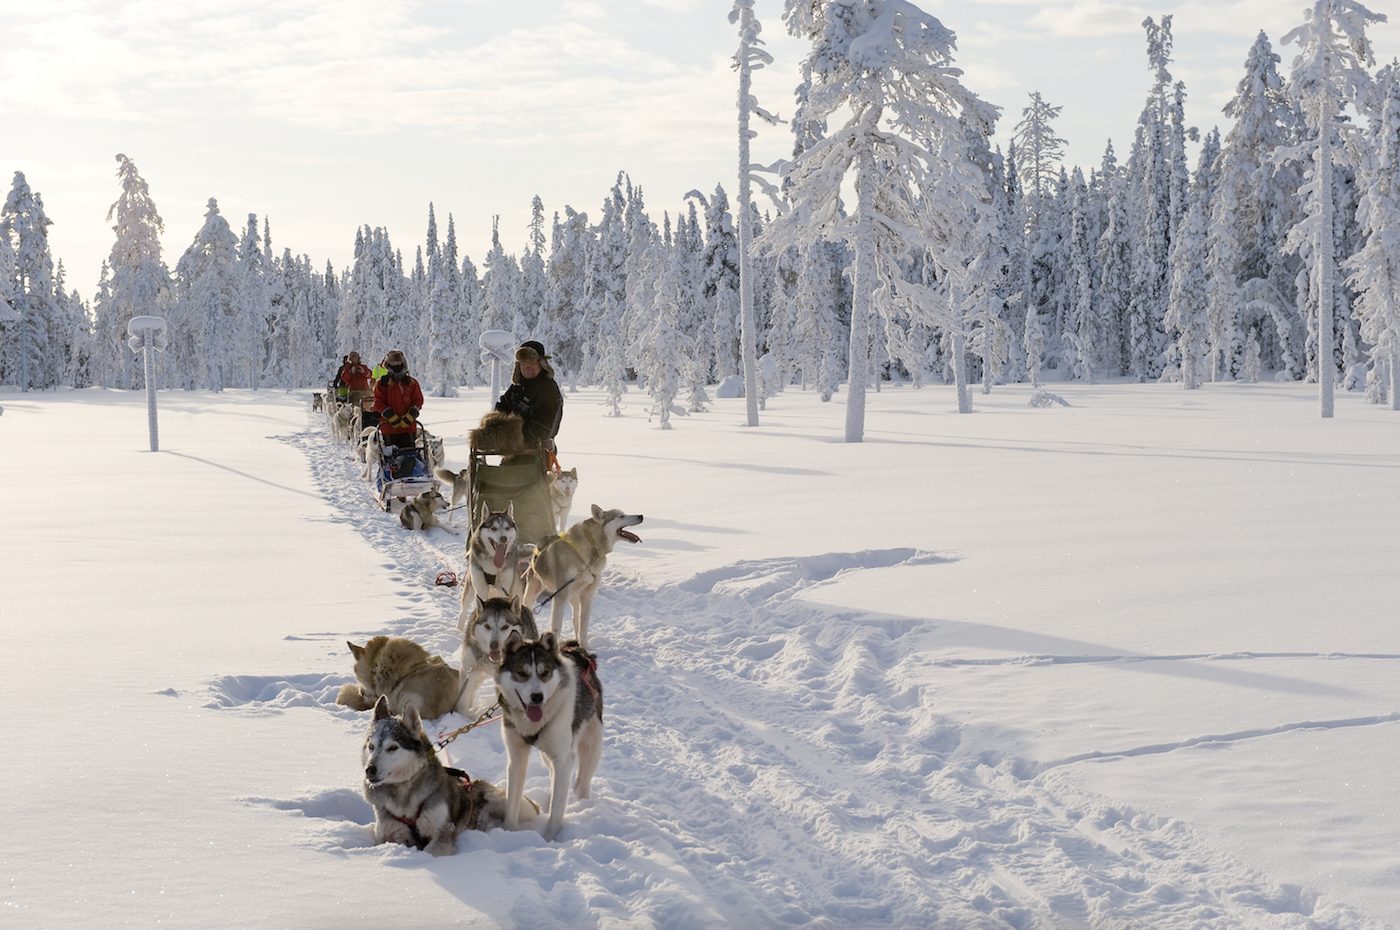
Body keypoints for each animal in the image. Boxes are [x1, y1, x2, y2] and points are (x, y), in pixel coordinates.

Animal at [361, 697, 534, 857]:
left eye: (392, 748)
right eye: (371, 746)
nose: (369, 770)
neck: (403, 797)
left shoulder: (444, 830)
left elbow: (431, 850)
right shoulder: (388, 833)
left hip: (503, 800)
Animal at [492, 633, 602, 840]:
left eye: (545, 673)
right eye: (522, 673)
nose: (537, 697)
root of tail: (577, 650)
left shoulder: (564, 759)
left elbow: (557, 812)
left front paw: (549, 840)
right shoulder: (517, 758)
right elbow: (512, 804)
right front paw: (509, 834)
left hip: (591, 745)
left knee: (581, 782)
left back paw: (583, 804)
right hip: (547, 755)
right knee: (554, 775)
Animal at [526, 504, 644, 649]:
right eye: (621, 516)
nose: (641, 516)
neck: (584, 556)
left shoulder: (587, 595)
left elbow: (583, 627)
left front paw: (585, 648)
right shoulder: (560, 597)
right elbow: (556, 628)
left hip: (574, 598)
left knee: (575, 619)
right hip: (533, 592)